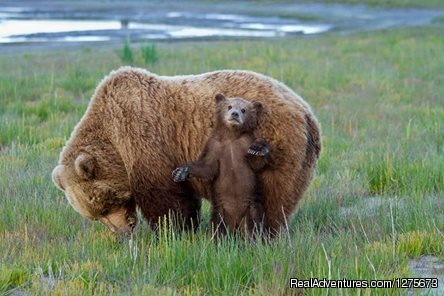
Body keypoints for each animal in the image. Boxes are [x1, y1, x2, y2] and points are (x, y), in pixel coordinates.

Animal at [172, 93, 270, 237]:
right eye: (229, 106)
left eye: (243, 109)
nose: (234, 114)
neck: (232, 136)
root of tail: (235, 223)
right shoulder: (215, 147)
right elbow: (208, 168)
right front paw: (181, 172)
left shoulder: (245, 144)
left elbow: (256, 163)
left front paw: (258, 148)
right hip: (220, 210)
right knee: (218, 226)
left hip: (251, 206)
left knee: (254, 227)